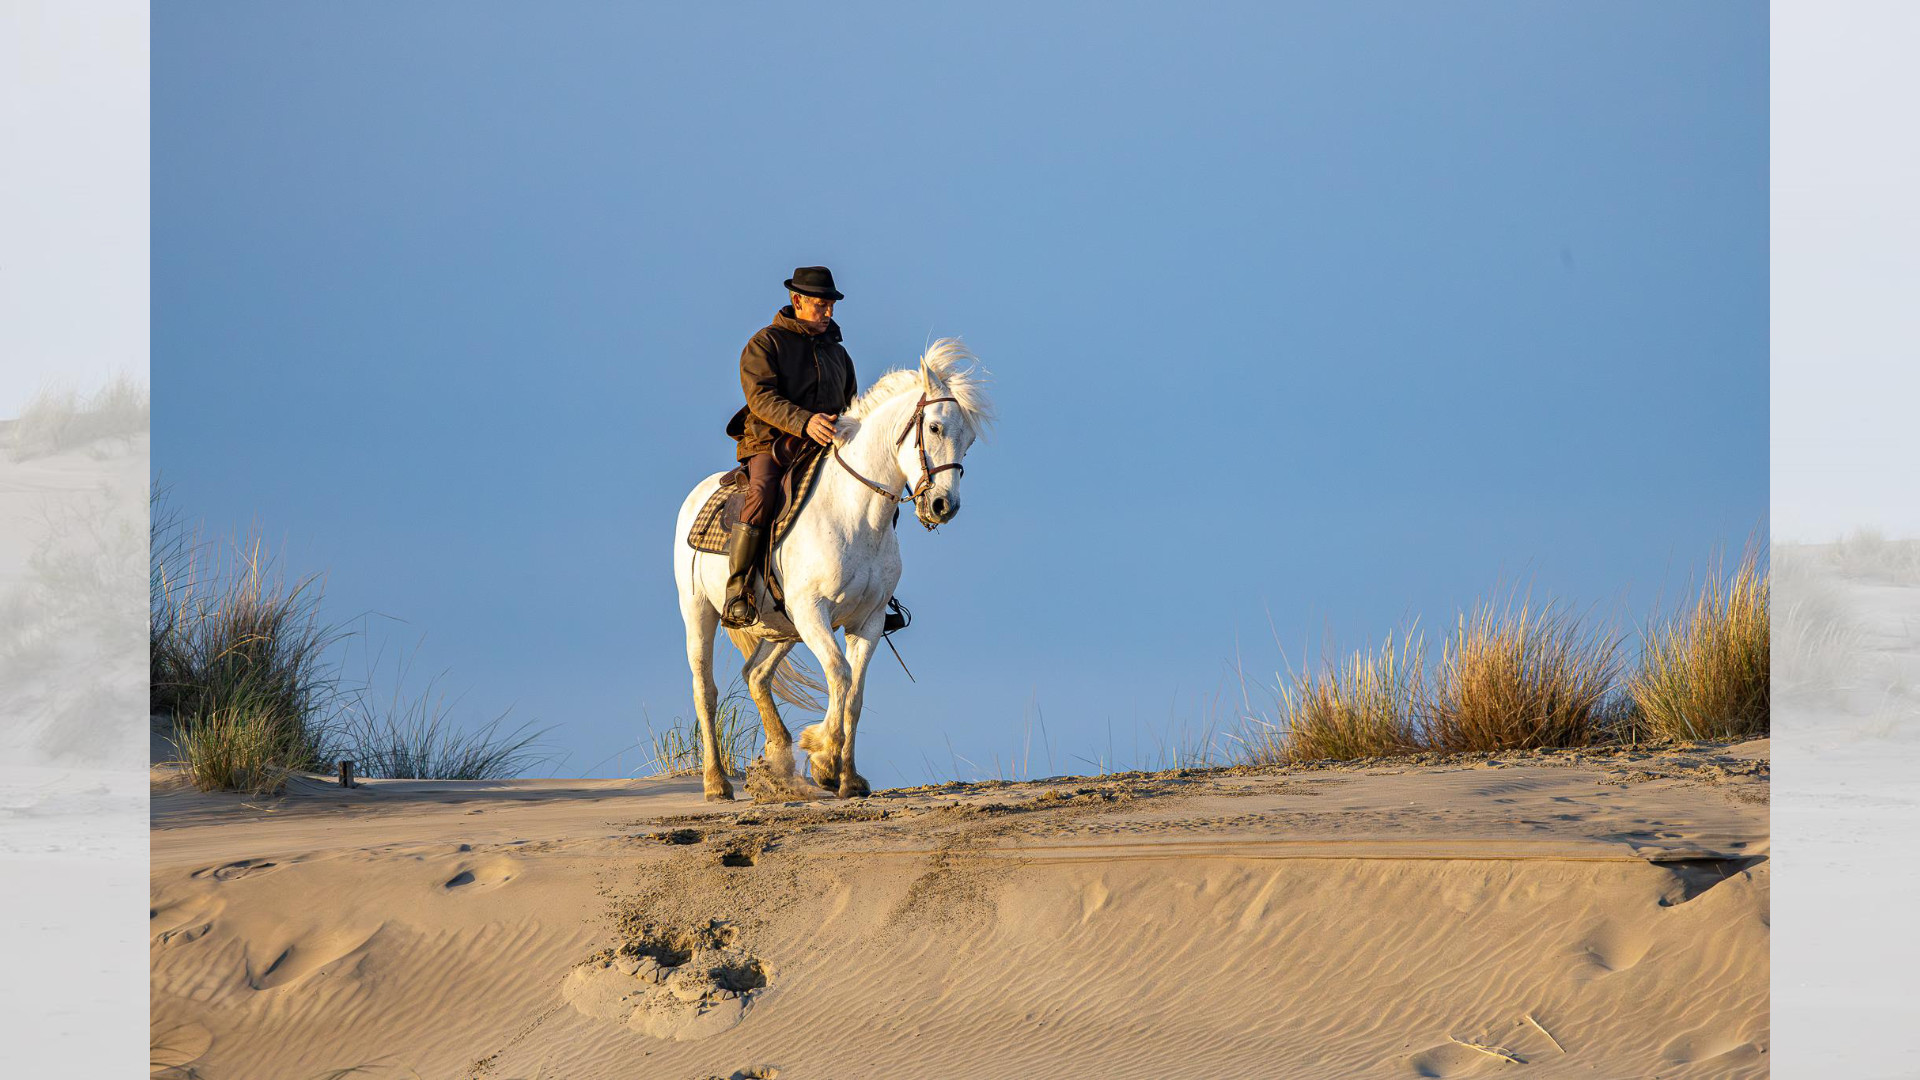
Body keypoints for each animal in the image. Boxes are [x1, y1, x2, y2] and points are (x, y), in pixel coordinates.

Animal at [675, 338, 998, 799]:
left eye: (968, 440)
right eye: (935, 428)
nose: (943, 506)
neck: (854, 514)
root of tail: (699, 494)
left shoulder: (868, 621)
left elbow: (856, 695)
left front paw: (848, 778)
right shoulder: (814, 612)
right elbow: (840, 675)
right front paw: (823, 758)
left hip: (782, 627)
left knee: (756, 674)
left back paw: (778, 763)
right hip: (701, 612)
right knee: (706, 690)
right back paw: (717, 783)